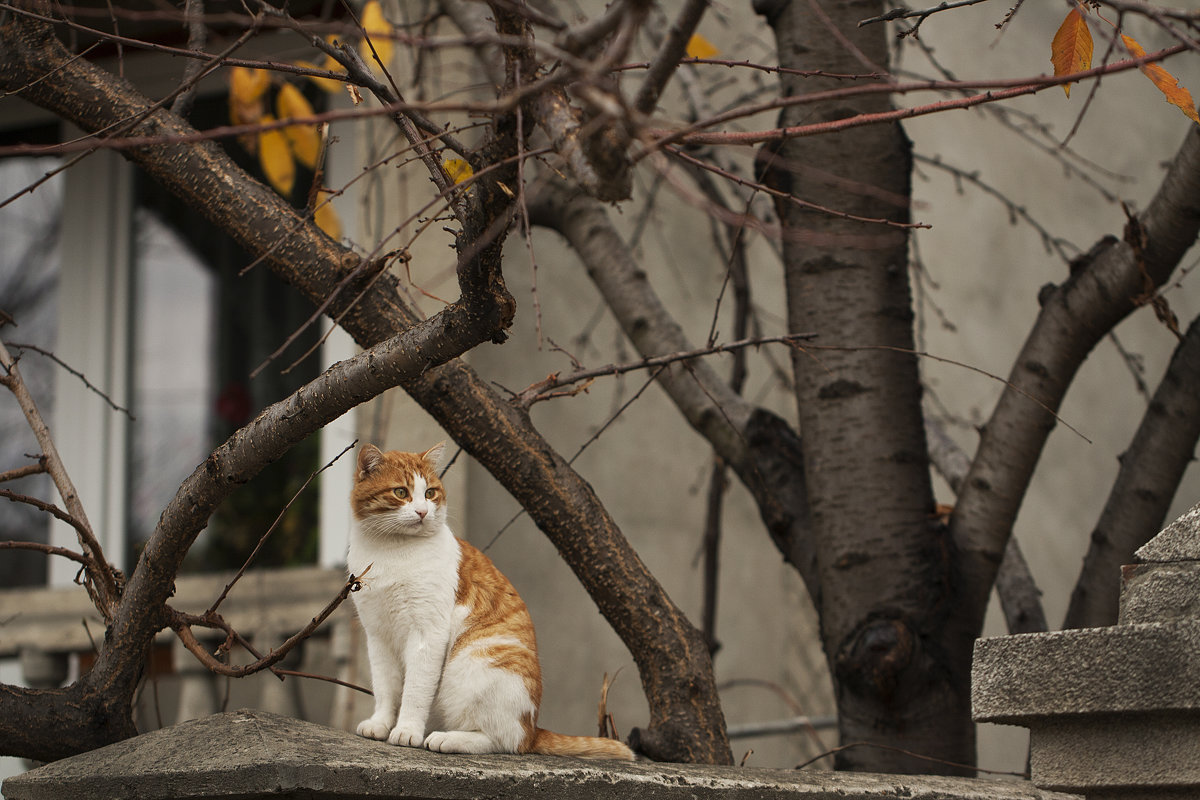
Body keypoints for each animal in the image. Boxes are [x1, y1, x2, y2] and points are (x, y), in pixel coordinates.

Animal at [345, 443, 633, 762]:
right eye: (400, 492)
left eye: (430, 493)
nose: (423, 511)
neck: (391, 551)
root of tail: (533, 729)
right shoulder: (377, 636)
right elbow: (386, 687)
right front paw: (380, 723)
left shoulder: (426, 635)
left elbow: (415, 691)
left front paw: (407, 730)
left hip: (474, 665)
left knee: (503, 741)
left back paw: (447, 739)